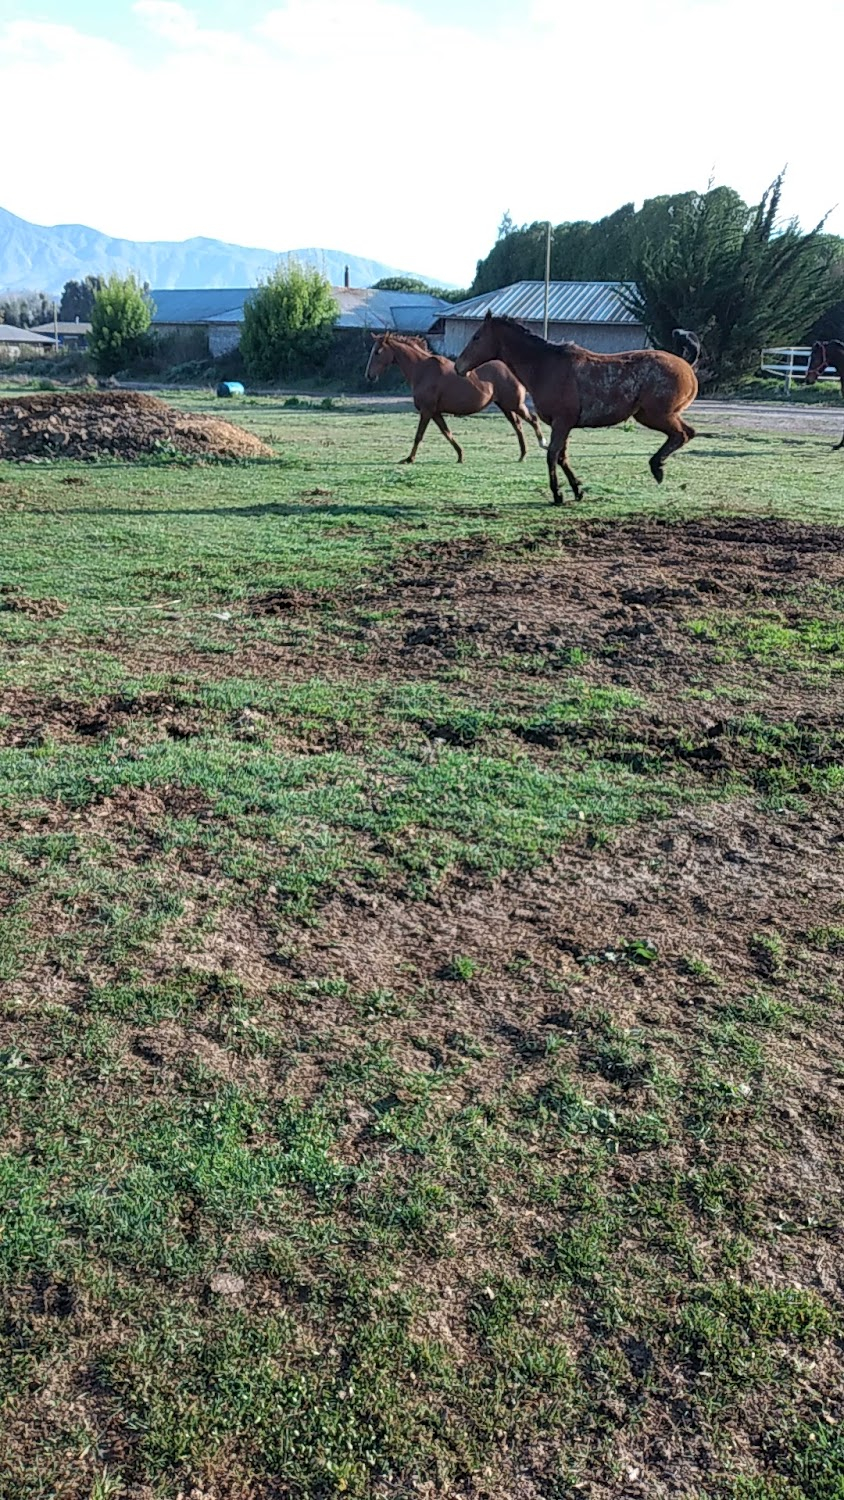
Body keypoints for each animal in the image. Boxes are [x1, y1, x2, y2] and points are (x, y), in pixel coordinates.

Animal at [364, 333, 548, 462]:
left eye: (378, 352)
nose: (369, 376)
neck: (422, 370)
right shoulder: (435, 412)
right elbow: (447, 432)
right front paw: (460, 455)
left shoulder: (427, 411)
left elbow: (419, 435)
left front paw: (409, 459)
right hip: (506, 407)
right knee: (518, 425)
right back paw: (522, 454)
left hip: (514, 404)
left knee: (532, 420)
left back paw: (542, 444)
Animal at [455, 313, 701, 507]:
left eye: (477, 337)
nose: (459, 367)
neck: (546, 366)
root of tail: (686, 365)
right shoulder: (563, 425)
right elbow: (562, 456)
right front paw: (577, 490)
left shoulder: (562, 423)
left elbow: (552, 455)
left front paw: (558, 495)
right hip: (653, 415)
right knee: (685, 433)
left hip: (656, 415)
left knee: (683, 434)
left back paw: (657, 467)